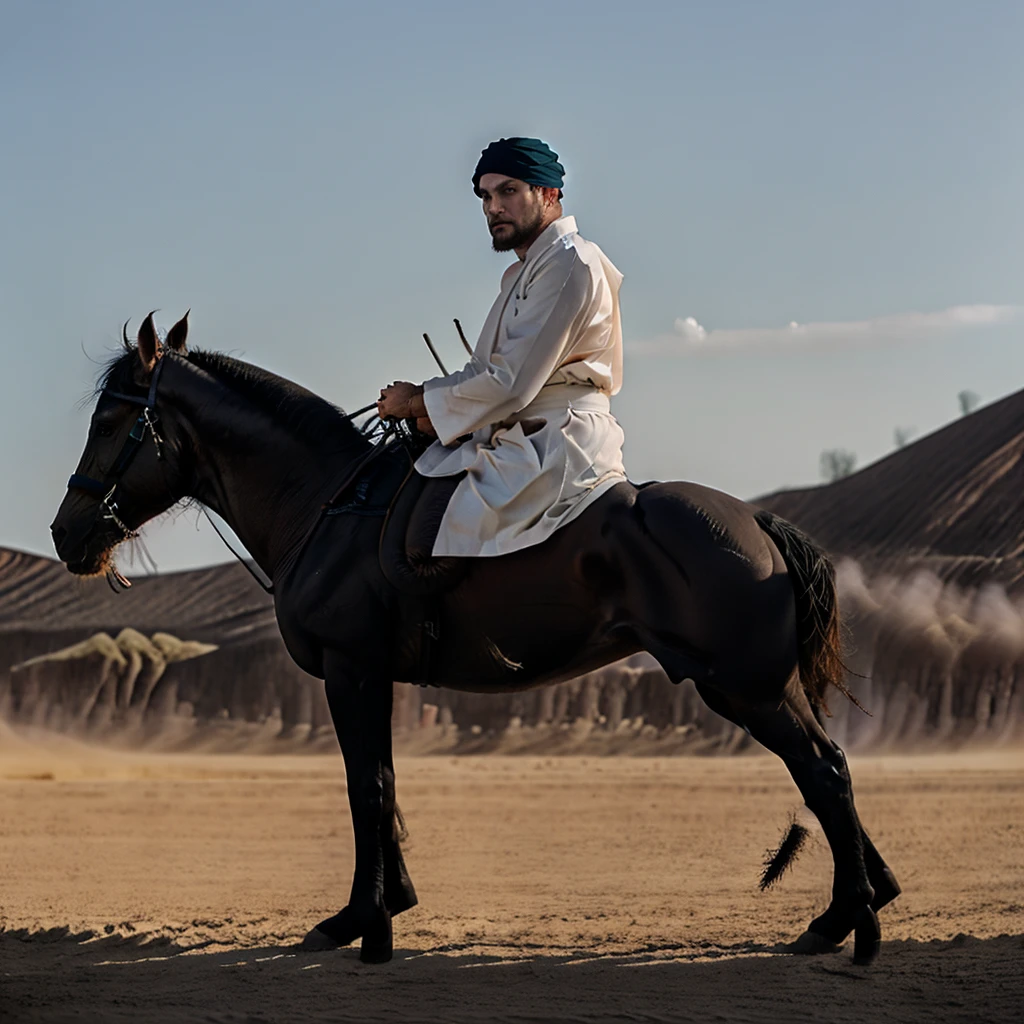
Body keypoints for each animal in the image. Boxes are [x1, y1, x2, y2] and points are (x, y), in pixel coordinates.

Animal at [49, 311, 897, 958]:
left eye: (110, 420)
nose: (65, 533)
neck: (324, 503)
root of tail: (753, 521)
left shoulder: (351, 670)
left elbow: (366, 788)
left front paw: (362, 919)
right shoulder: (374, 678)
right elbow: (384, 786)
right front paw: (386, 905)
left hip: (747, 687)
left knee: (824, 771)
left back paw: (842, 920)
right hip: (753, 688)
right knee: (823, 772)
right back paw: (861, 902)